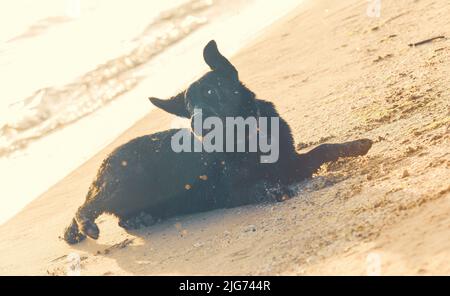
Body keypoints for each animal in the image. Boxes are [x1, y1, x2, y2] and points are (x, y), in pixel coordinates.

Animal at [63, 40, 372, 244]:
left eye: (211, 91)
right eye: (188, 106)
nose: (195, 122)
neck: (248, 138)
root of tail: (102, 165)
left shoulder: (292, 164)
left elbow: (324, 148)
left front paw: (355, 145)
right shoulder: (227, 191)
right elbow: (259, 185)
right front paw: (274, 189)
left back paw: (140, 219)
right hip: (127, 181)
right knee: (85, 207)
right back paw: (88, 226)